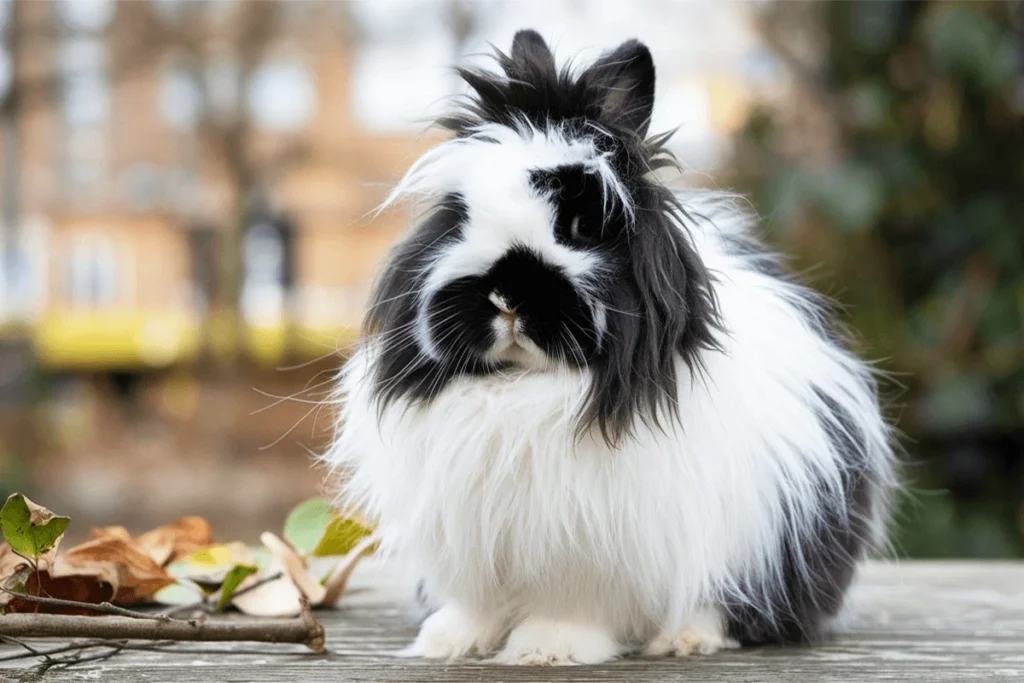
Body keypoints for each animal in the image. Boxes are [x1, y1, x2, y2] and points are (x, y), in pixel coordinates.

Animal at [323, 29, 892, 663]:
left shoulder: (593, 550)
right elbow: (477, 605)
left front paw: (547, 649)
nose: (505, 293)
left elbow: (571, 606)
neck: (528, 385)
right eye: (461, 216)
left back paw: (686, 639)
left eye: (578, 227)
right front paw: (448, 641)